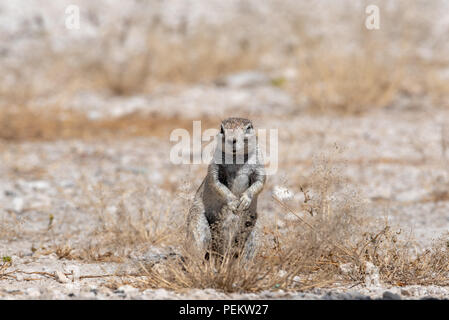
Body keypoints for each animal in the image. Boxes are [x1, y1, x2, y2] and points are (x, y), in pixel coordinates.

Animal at [186, 117, 266, 260]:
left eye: (248, 128)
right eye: (222, 129)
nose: (232, 140)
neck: (236, 158)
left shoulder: (259, 166)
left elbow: (260, 182)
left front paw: (245, 200)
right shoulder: (215, 167)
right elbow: (215, 182)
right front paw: (233, 202)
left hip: (254, 228)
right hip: (197, 223)